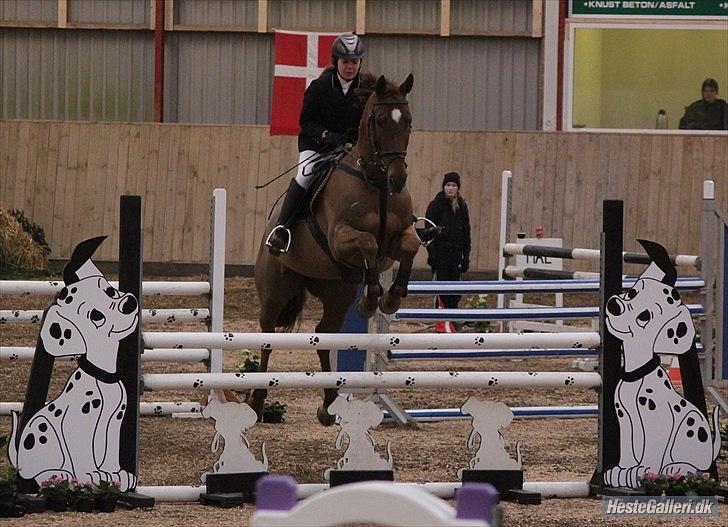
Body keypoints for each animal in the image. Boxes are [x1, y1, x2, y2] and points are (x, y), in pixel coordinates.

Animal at [252, 73, 418, 424]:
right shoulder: (341, 239)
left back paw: (328, 404)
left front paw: (391, 297)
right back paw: (257, 400)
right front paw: (371, 300)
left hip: (337, 293)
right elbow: (368, 242)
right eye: (380, 121)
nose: (397, 179)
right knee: (267, 336)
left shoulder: (396, 241)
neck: (374, 181)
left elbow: (409, 244)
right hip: (275, 290)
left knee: (323, 336)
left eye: (408, 121)